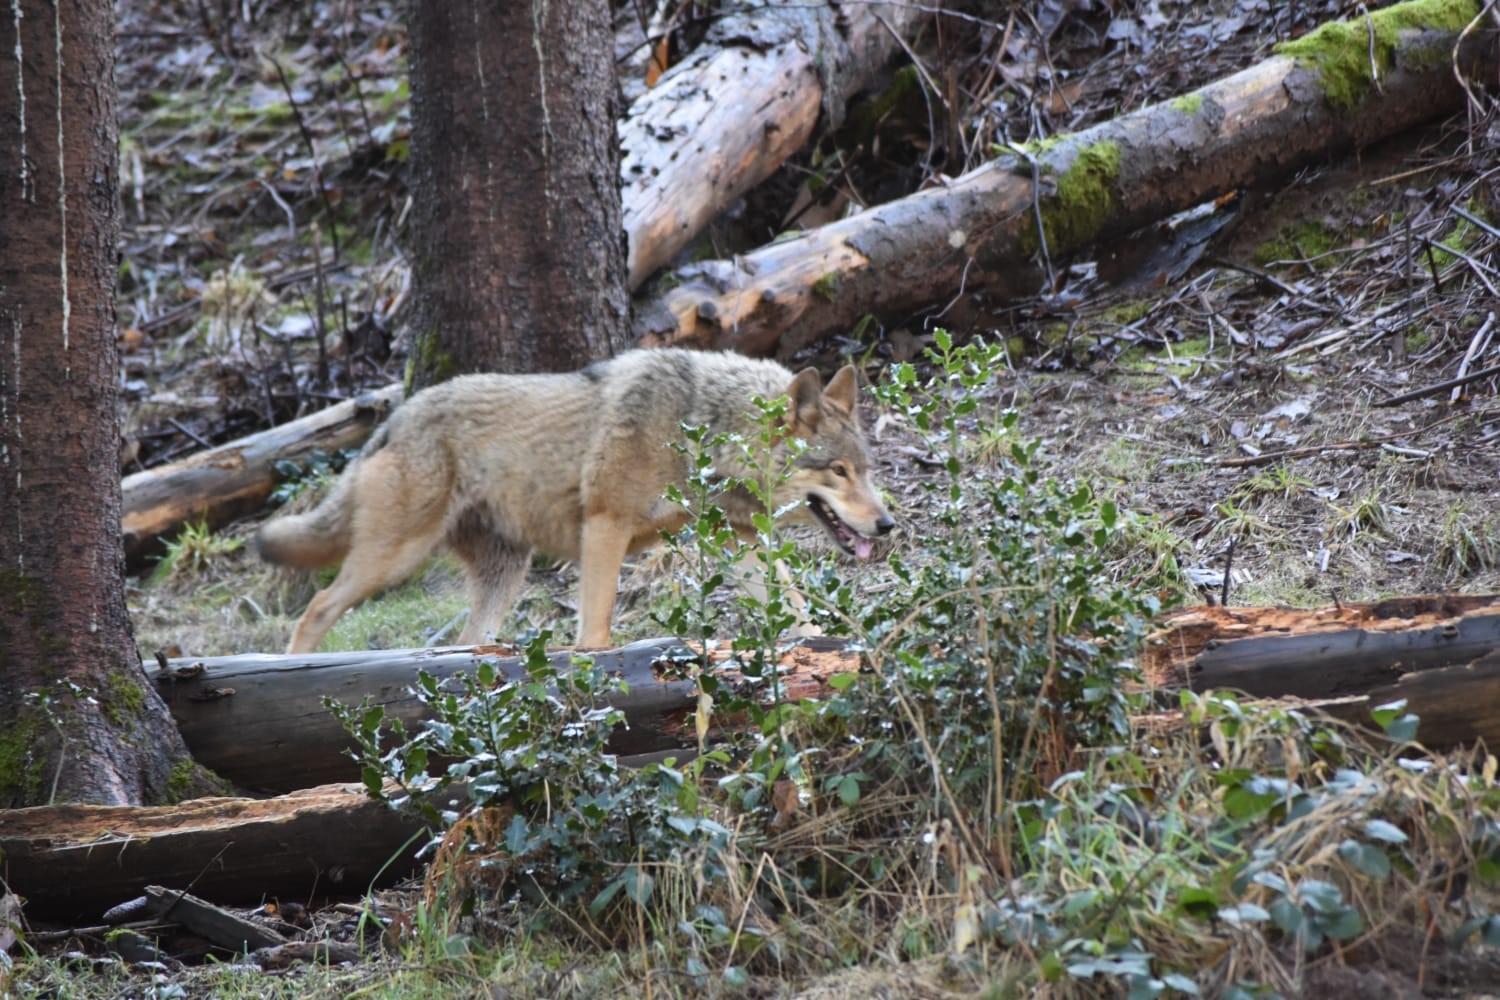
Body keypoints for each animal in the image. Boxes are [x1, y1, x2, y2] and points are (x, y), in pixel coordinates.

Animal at [257, 348, 895, 653]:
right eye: (837, 471)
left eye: (866, 471)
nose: (887, 523)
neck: (701, 428)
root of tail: (393, 419)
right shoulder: (605, 525)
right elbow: (597, 632)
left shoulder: (735, 539)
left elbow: (794, 606)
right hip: (395, 559)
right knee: (316, 609)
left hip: (503, 575)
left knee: (466, 647)